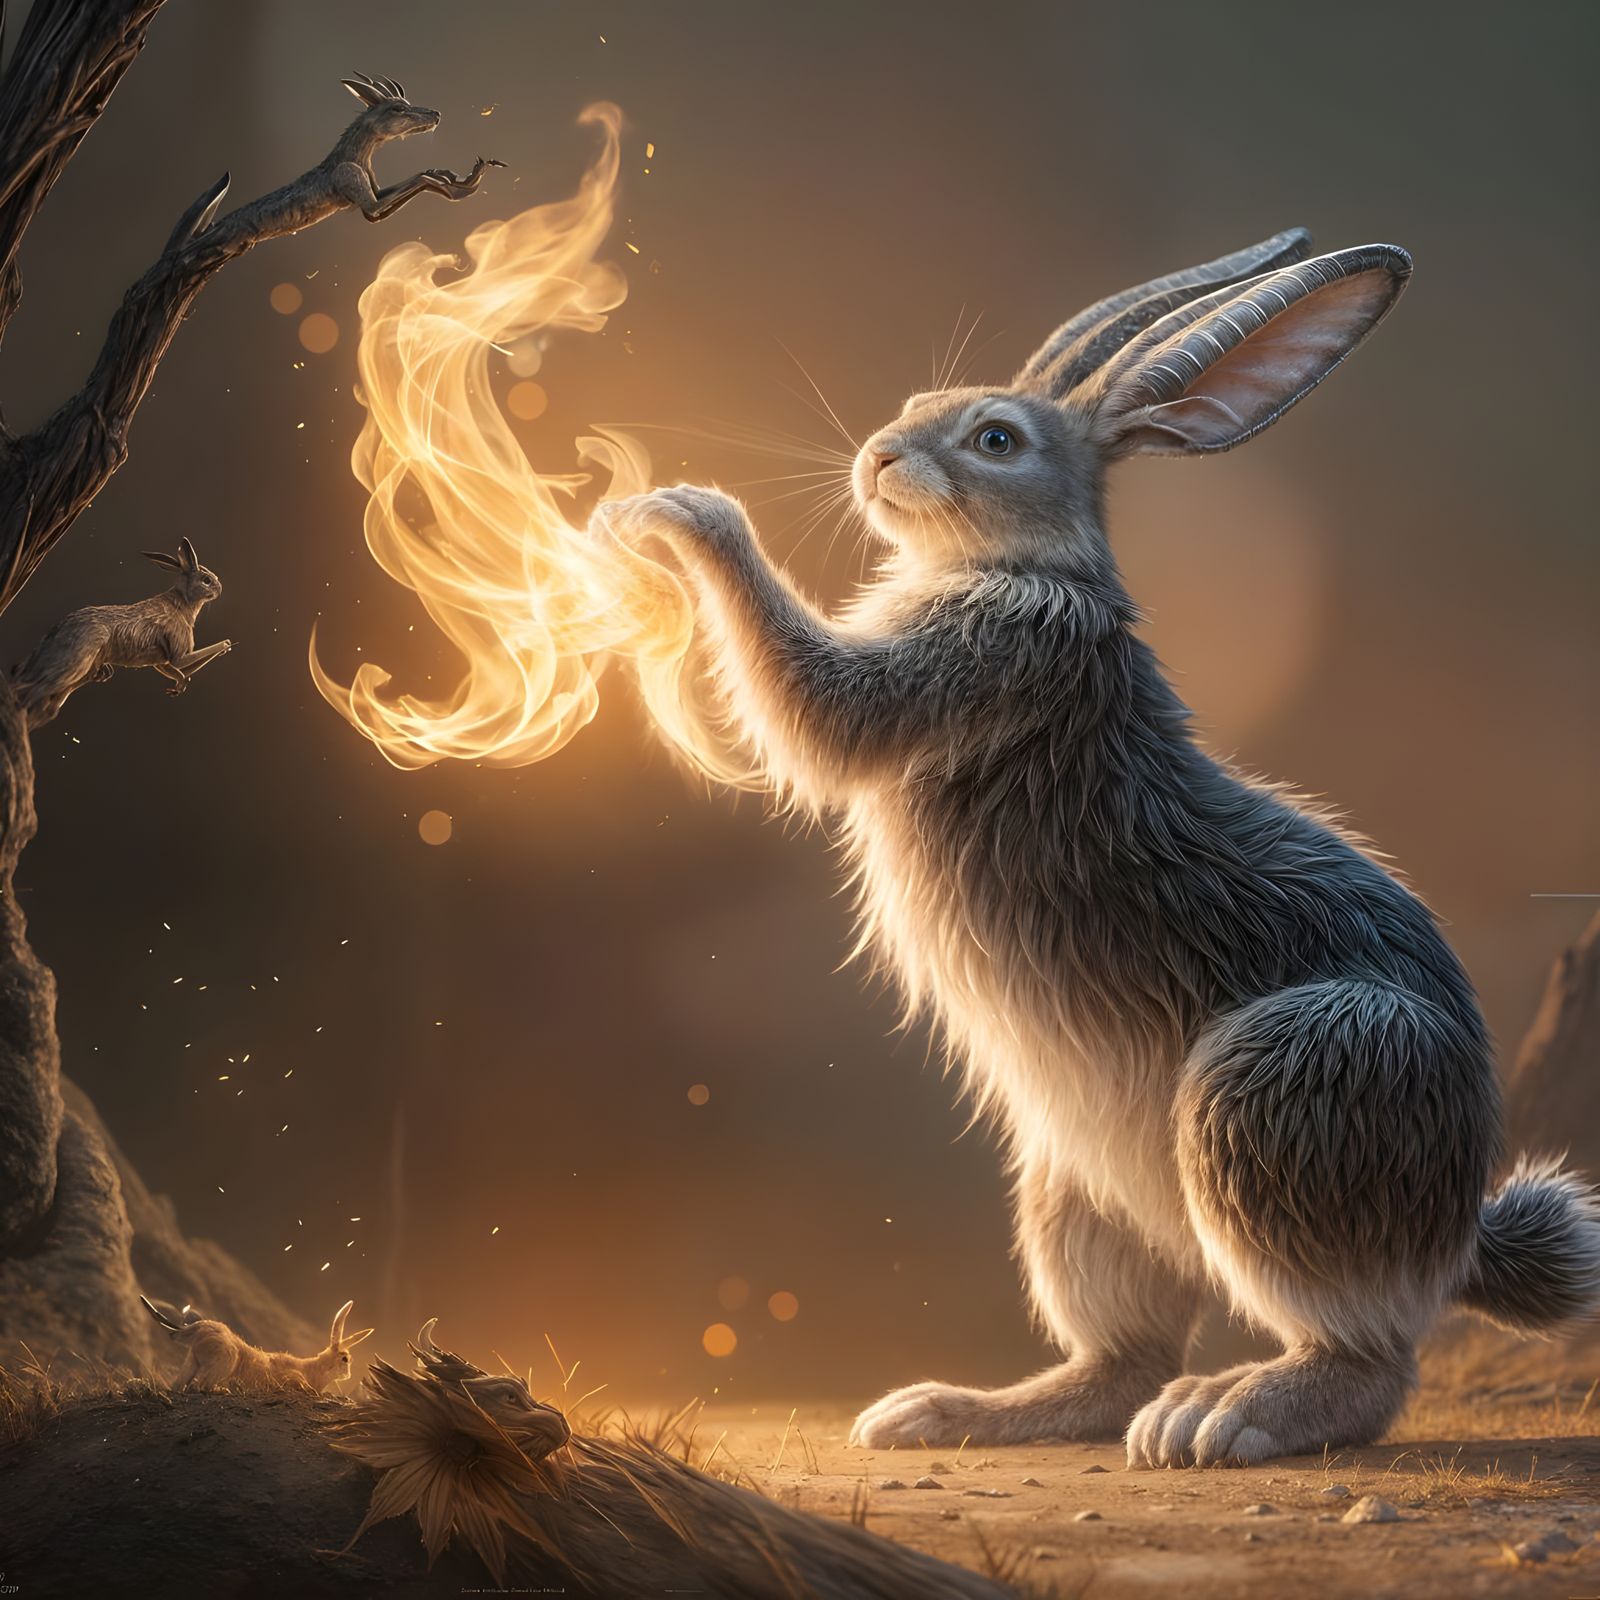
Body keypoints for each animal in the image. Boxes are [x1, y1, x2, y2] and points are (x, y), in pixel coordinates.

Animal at [12, 537, 231, 726]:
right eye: (206, 580)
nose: (220, 589)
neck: (183, 601)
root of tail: (55, 632)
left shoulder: (161, 662)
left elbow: (175, 671)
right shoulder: (177, 654)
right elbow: (186, 664)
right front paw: (226, 644)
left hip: (81, 673)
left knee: (45, 706)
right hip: (75, 664)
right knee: (29, 691)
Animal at [141, 1294, 374, 1392]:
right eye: (345, 1359)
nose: (348, 1375)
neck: (312, 1370)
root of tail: (195, 1330)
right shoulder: (294, 1379)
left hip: (192, 1361)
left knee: (178, 1386)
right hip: (224, 1363)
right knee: (200, 1387)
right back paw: (221, 1391)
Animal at [606, 227, 1600, 1468]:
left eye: (996, 439)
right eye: (920, 404)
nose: (881, 456)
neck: (1026, 563)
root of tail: (1453, 1229)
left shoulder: (977, 659)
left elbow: (815, 706)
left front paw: (683, 517)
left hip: (1286, 1082)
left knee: (1364, 1356)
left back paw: (1226, 1417)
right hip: (1069, 1174)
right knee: (1121, 1356)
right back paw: (946, 1413)